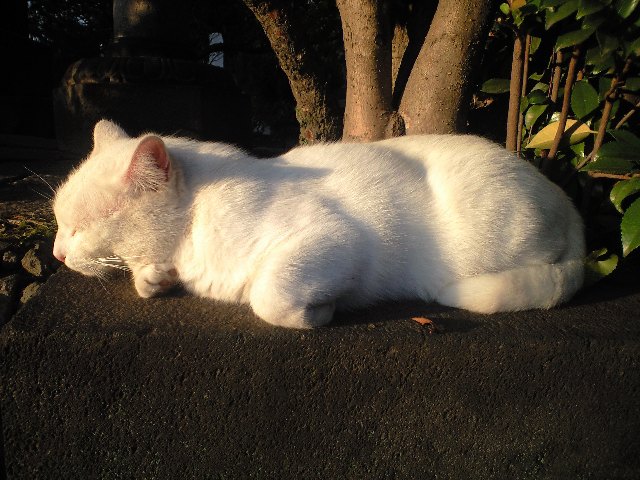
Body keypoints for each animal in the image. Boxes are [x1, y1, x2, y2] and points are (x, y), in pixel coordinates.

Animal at [52, 120, 585, 328]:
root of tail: (568, 201)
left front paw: (320, 313)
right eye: (58, 223)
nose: (56, 252)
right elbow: (149, 279)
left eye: (77, 229)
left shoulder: (335, 239)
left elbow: (268, 296)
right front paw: (154, 279)